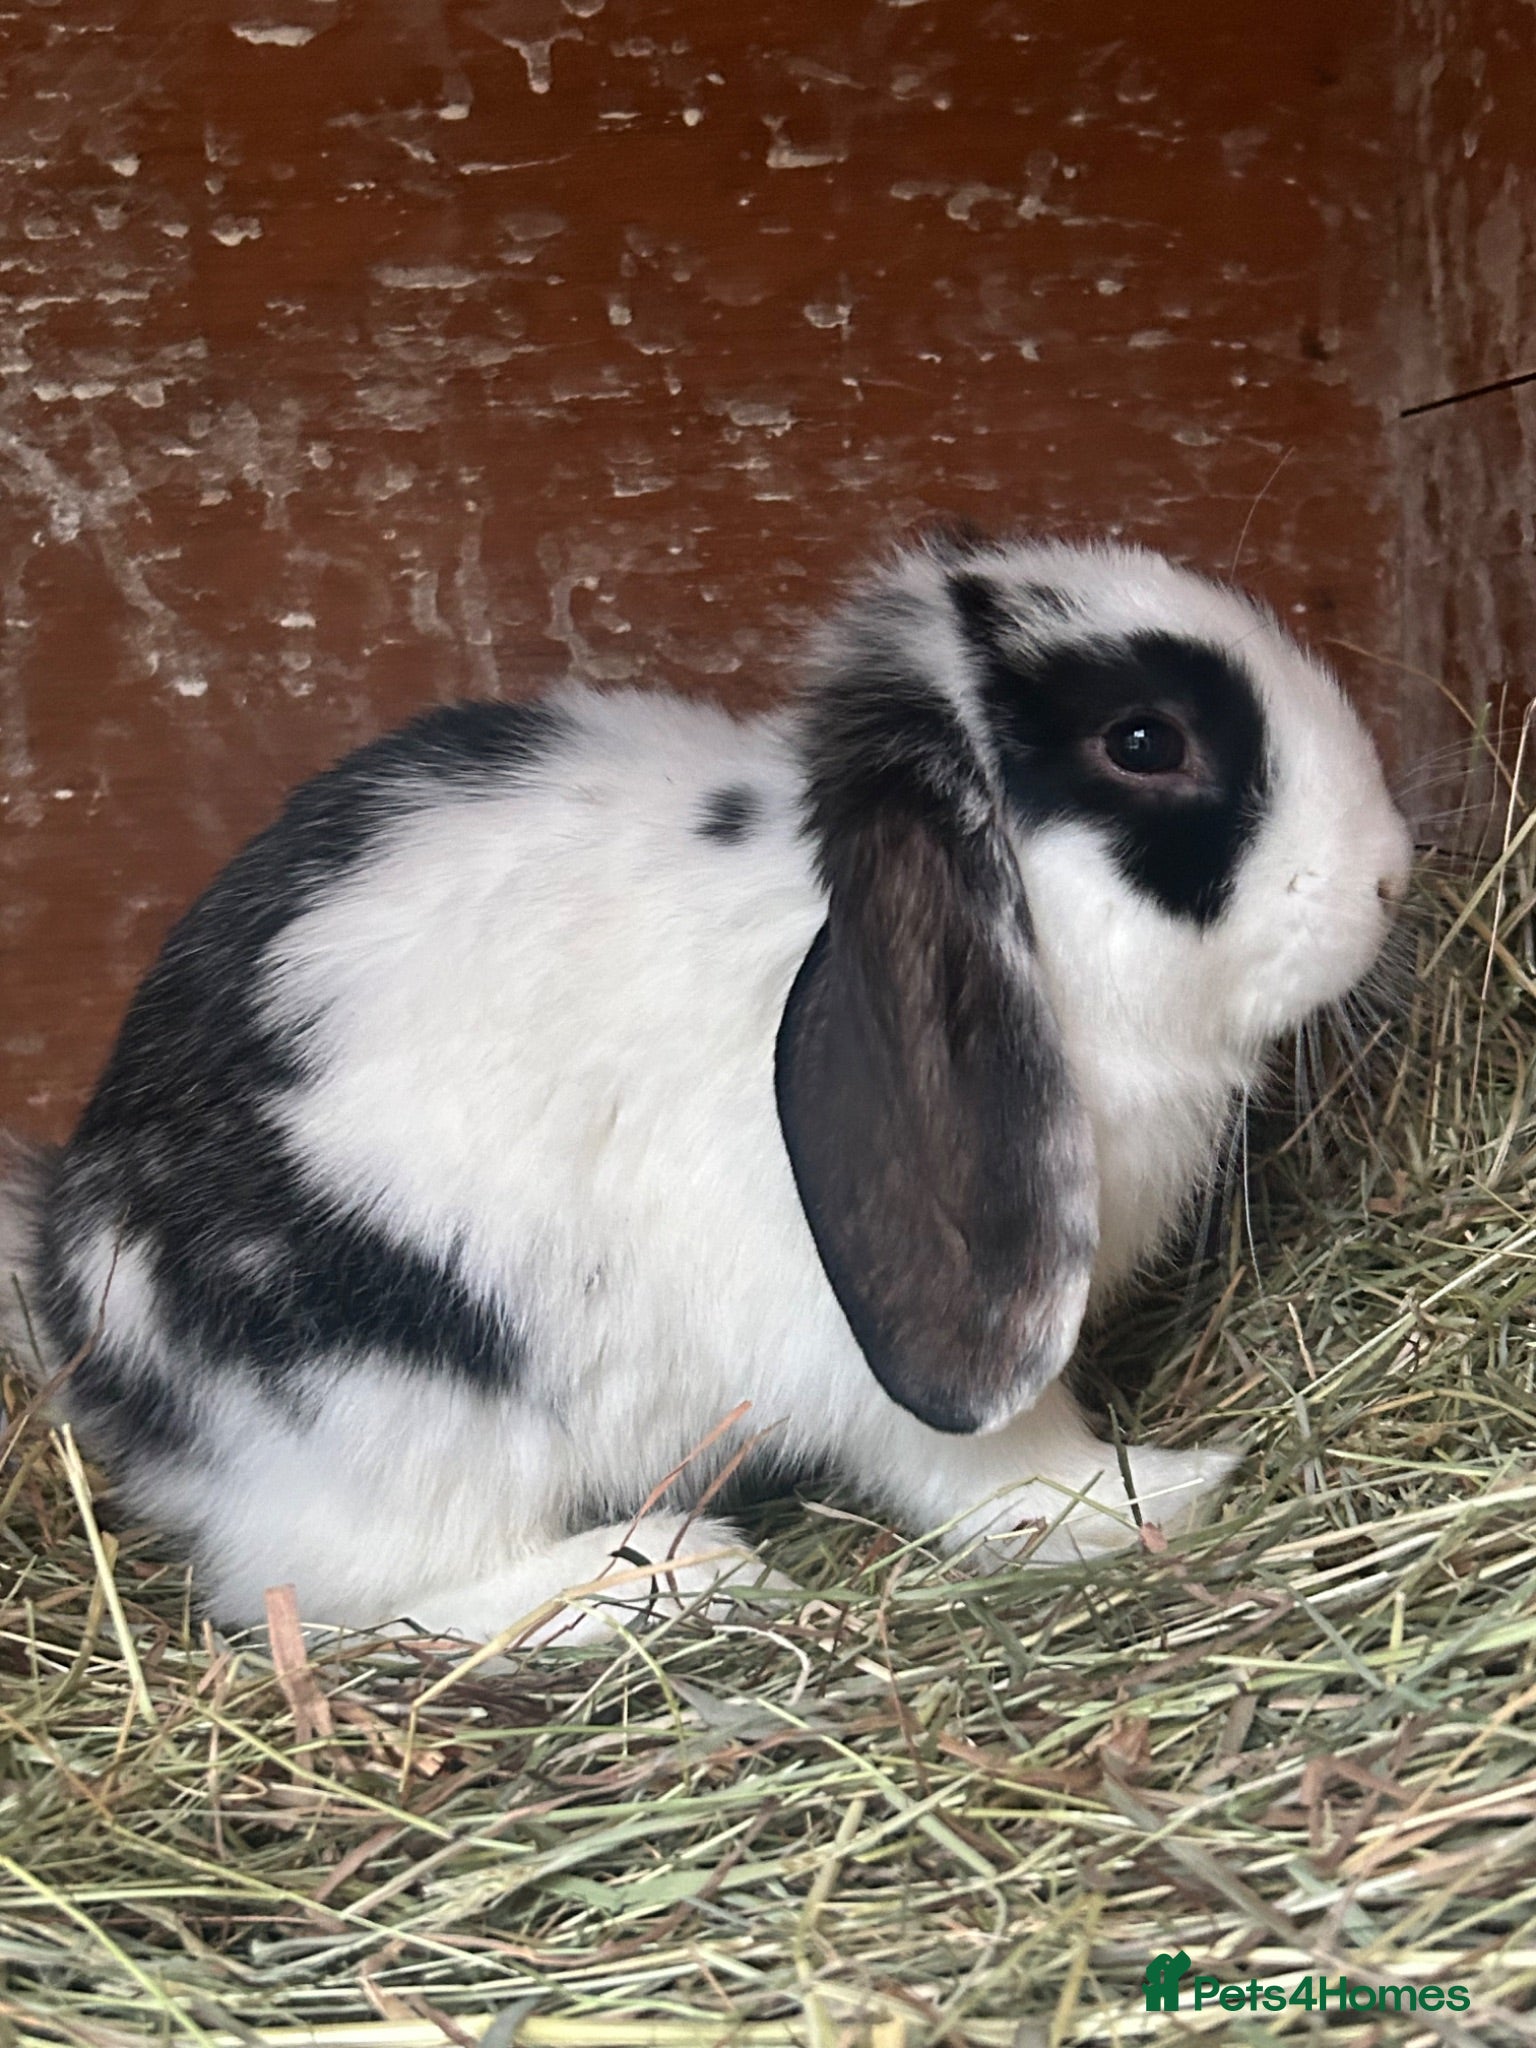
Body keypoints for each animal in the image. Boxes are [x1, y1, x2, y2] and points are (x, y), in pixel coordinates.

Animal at [0, 532, 1413, 1646]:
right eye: (1143, 740)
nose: (1391, 873)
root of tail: (87, 1318)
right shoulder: (897, 1362)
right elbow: (1002, 1463)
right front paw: (1159, 1485)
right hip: (398, 1413)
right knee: (347, 1599)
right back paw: (671, 1575)